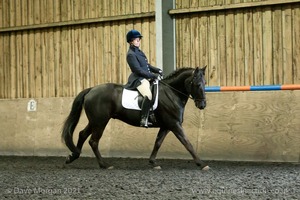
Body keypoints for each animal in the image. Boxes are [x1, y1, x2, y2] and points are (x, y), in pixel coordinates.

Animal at [61, 66, 210, 170]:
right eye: (197, 84)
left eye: (205, 82)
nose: (202, 105)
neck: (171, 93)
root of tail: (91, 89)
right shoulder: (174, 124)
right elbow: (187, 143)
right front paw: (202, 164)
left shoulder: (166, 126)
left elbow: (158, 142)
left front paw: (153, 163)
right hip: (100, 122)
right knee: (93, 141)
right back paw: (104, 165)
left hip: (95, 121)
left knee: (82, 134)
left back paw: (72, 156)